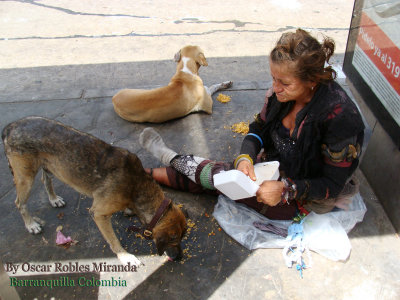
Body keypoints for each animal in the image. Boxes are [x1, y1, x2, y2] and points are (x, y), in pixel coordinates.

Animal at [2, 116, 187, 266]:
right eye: (174, 239)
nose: (180, 257)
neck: (136, 184)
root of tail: (10, 127)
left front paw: (128, 210)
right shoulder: (99, 214)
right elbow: (113, 240)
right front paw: (125, 256)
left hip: (49, 166)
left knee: (45, 180)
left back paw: (54, 199)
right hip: (25, 177)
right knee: (19, 203)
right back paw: (31, 224)